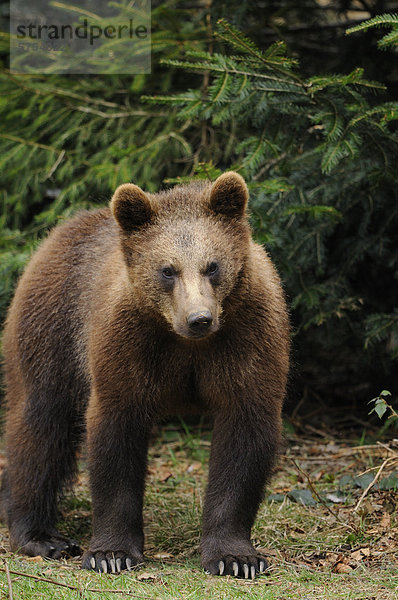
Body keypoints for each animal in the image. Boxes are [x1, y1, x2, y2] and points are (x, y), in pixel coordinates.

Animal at [0, 171, 290, 580]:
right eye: (167, 269)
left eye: (212, 265)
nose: (199, 319)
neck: (184, 342)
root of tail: (62, 230)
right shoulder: (127, 343)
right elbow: (115, 435)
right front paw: (112, 553)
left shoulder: (247, 339)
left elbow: (244, 438)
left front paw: (236, 557)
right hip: (51, 330)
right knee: (40, 424)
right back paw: (42, 536)